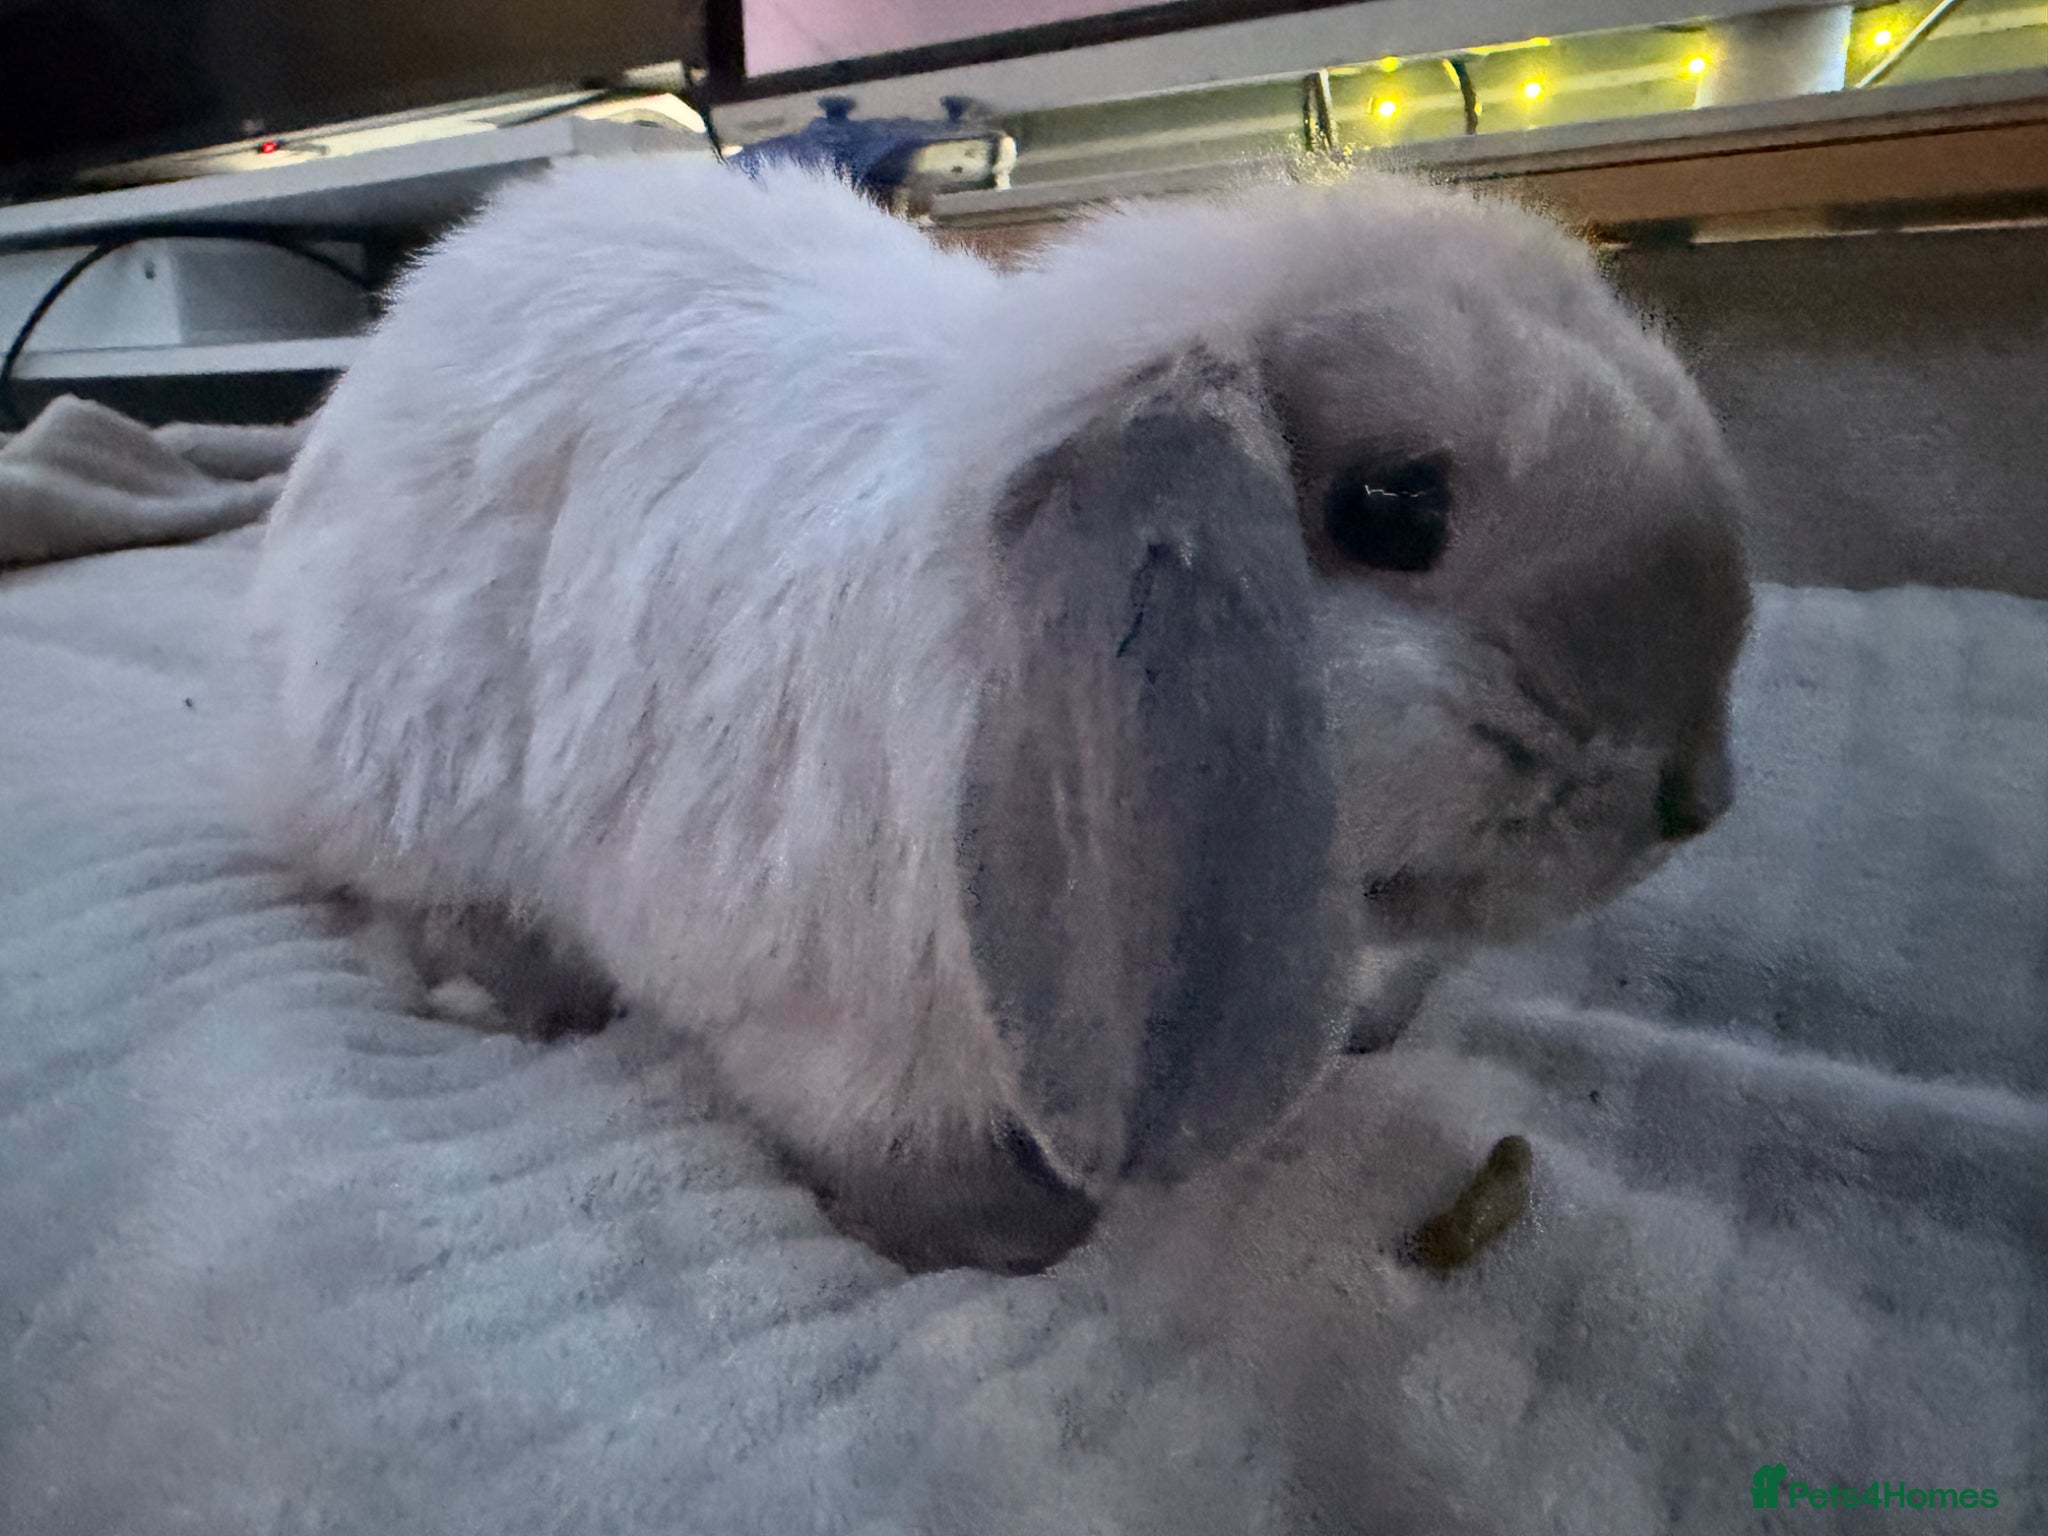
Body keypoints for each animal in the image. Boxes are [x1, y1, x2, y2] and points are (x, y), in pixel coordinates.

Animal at [245, 153, 1751, 1276]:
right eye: (1393, 508)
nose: (1701, 794)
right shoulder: (834, 1033)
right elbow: (902, 1158)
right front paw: (1012, 1233)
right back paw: (496, 980)